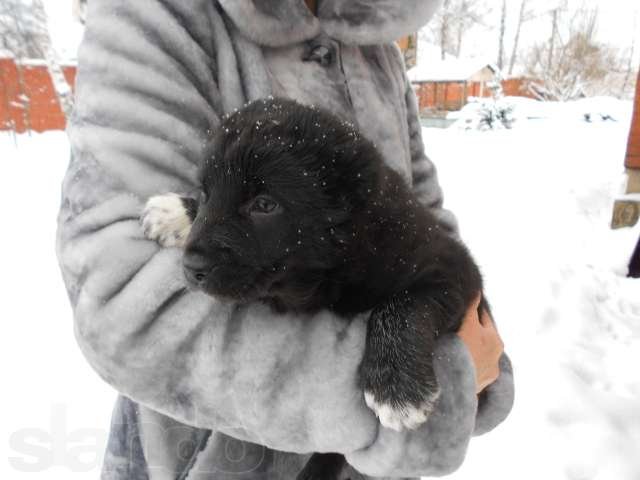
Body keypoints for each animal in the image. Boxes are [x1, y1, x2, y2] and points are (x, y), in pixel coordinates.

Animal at [141, 97, 484, 480]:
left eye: (265, 204)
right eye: (205, 193)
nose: (191, 266)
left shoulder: (452, 265)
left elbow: (403, 304)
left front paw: (398, 387)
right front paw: (176, 212)